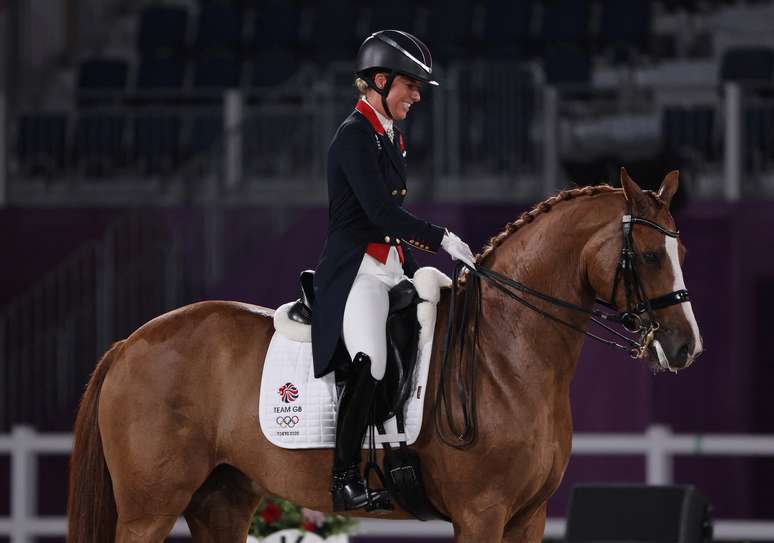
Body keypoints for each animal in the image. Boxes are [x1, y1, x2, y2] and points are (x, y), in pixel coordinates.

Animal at [69, 170, 708, 543]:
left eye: (682, 253)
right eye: (650, 255)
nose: (685, 347)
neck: (508, 353)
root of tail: (129, 343)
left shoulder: (528, 518)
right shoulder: (482, 514)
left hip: (220, 502)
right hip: (149, 510)